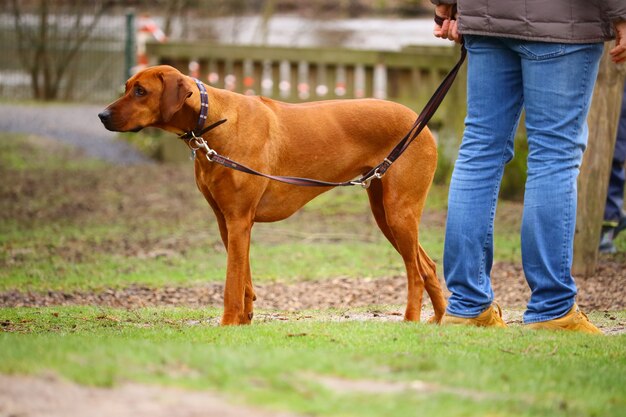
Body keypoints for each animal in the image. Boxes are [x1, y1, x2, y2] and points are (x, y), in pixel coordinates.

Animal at [98, 65, 444, 324]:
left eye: (140, 91)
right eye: (127, 86)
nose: (101, 115)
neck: (213, 122)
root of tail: (419, 122)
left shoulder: (238, 219)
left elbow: (231, 282)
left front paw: (228, 323)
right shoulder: (228, 221)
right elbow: (244, 277)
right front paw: (245, 319)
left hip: (398, 210)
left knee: (415, 271)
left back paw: (411, 319)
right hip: (384, 212)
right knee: (427, 265)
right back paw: (439, 320)